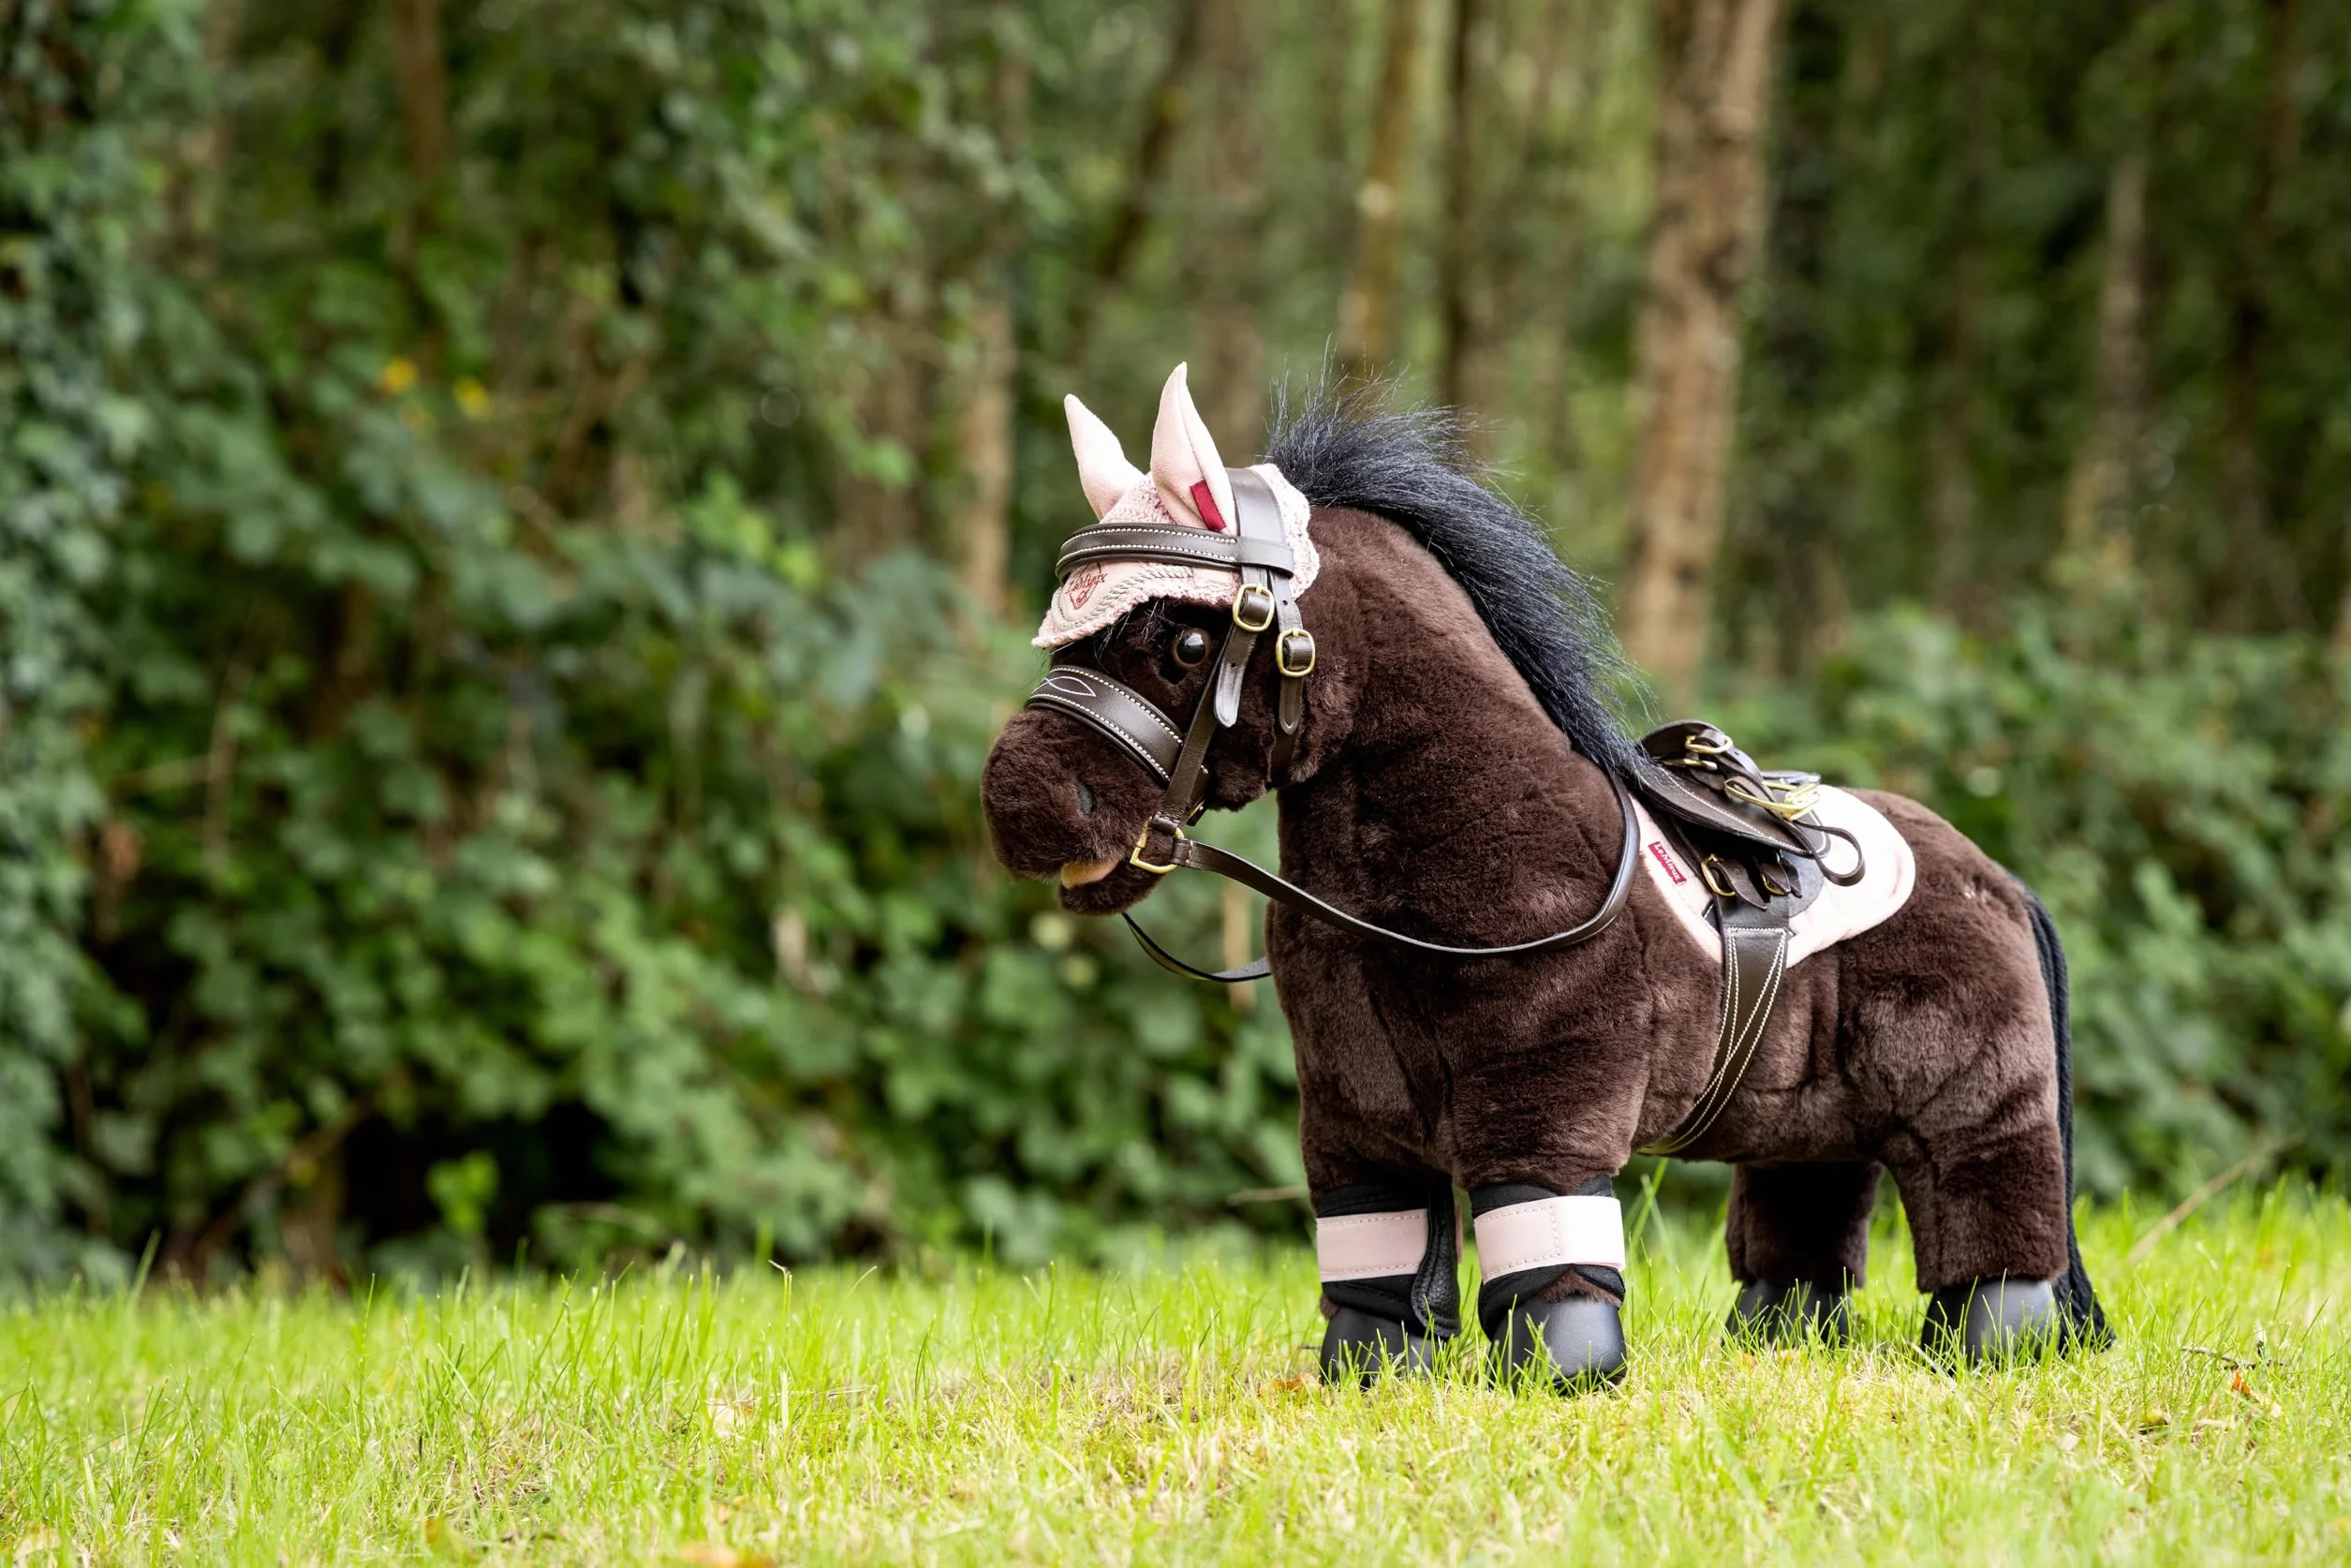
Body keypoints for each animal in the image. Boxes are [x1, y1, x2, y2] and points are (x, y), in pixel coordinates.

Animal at [981, 365, 2109, 1391]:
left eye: (1182, 638)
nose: (1013, 802)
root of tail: (1999, 877)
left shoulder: (1543, 1102)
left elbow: (1543, 1244)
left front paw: (1566, 1373)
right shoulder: (1351, 1113)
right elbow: (1378, 1262)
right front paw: (1370, 1375)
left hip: (1975, 1106)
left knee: (1991, 1226)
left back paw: (1989, 1349)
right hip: (1808, 1125)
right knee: (1804, 1223)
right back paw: (1778, 1342)